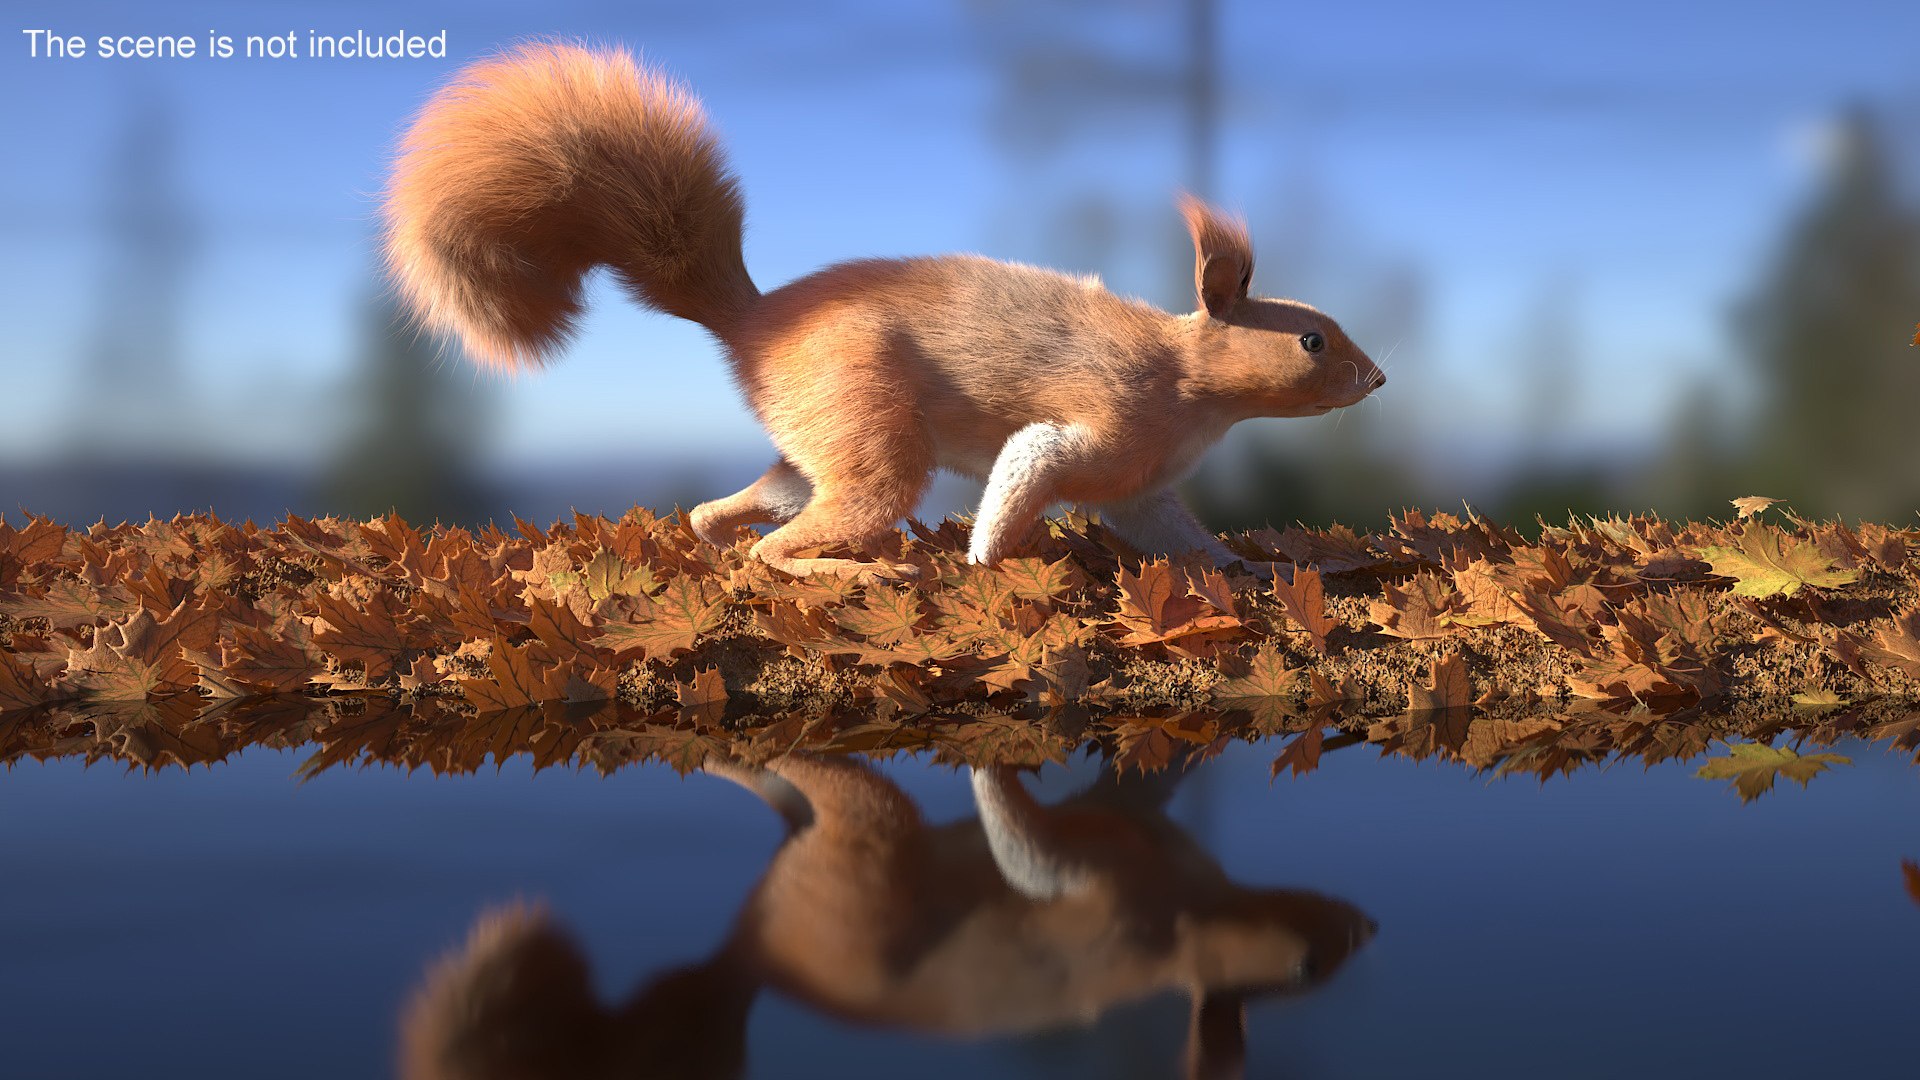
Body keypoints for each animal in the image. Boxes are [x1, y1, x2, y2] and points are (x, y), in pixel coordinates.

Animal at [383, 43, 1385, 583]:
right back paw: (840, 567)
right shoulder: (1094, 425)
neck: (1194, 389)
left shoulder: (1141, 487)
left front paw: (1250, 568)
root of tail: (758, 325)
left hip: (819, 443)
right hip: (868, 435)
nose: (1377, 377)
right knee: (780, 551)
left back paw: (713, 536)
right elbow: (1020, 477)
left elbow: (1177, 536)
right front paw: (987, 566)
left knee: (730, 512)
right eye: (1310, 338)